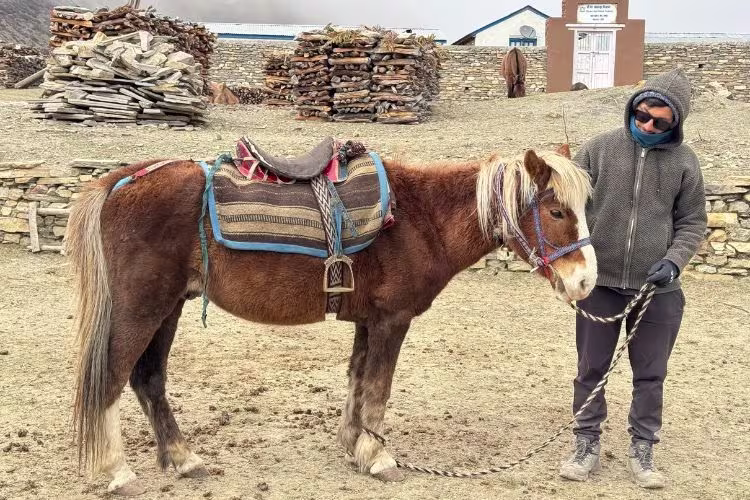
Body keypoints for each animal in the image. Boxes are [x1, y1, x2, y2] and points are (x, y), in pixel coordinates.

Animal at [65, 143, 597, 495]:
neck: (421, 219)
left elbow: (358, 382)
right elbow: (378, 389)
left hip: (169, 307)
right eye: (555, 211)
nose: (586, 281)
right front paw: (378, 456)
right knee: (111, 378)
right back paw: (117, 471)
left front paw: (353, 444)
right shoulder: (392, 321)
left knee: (148, 379)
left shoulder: (368, 321)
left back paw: (183, 458)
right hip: (142, 307)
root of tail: (123, 179)